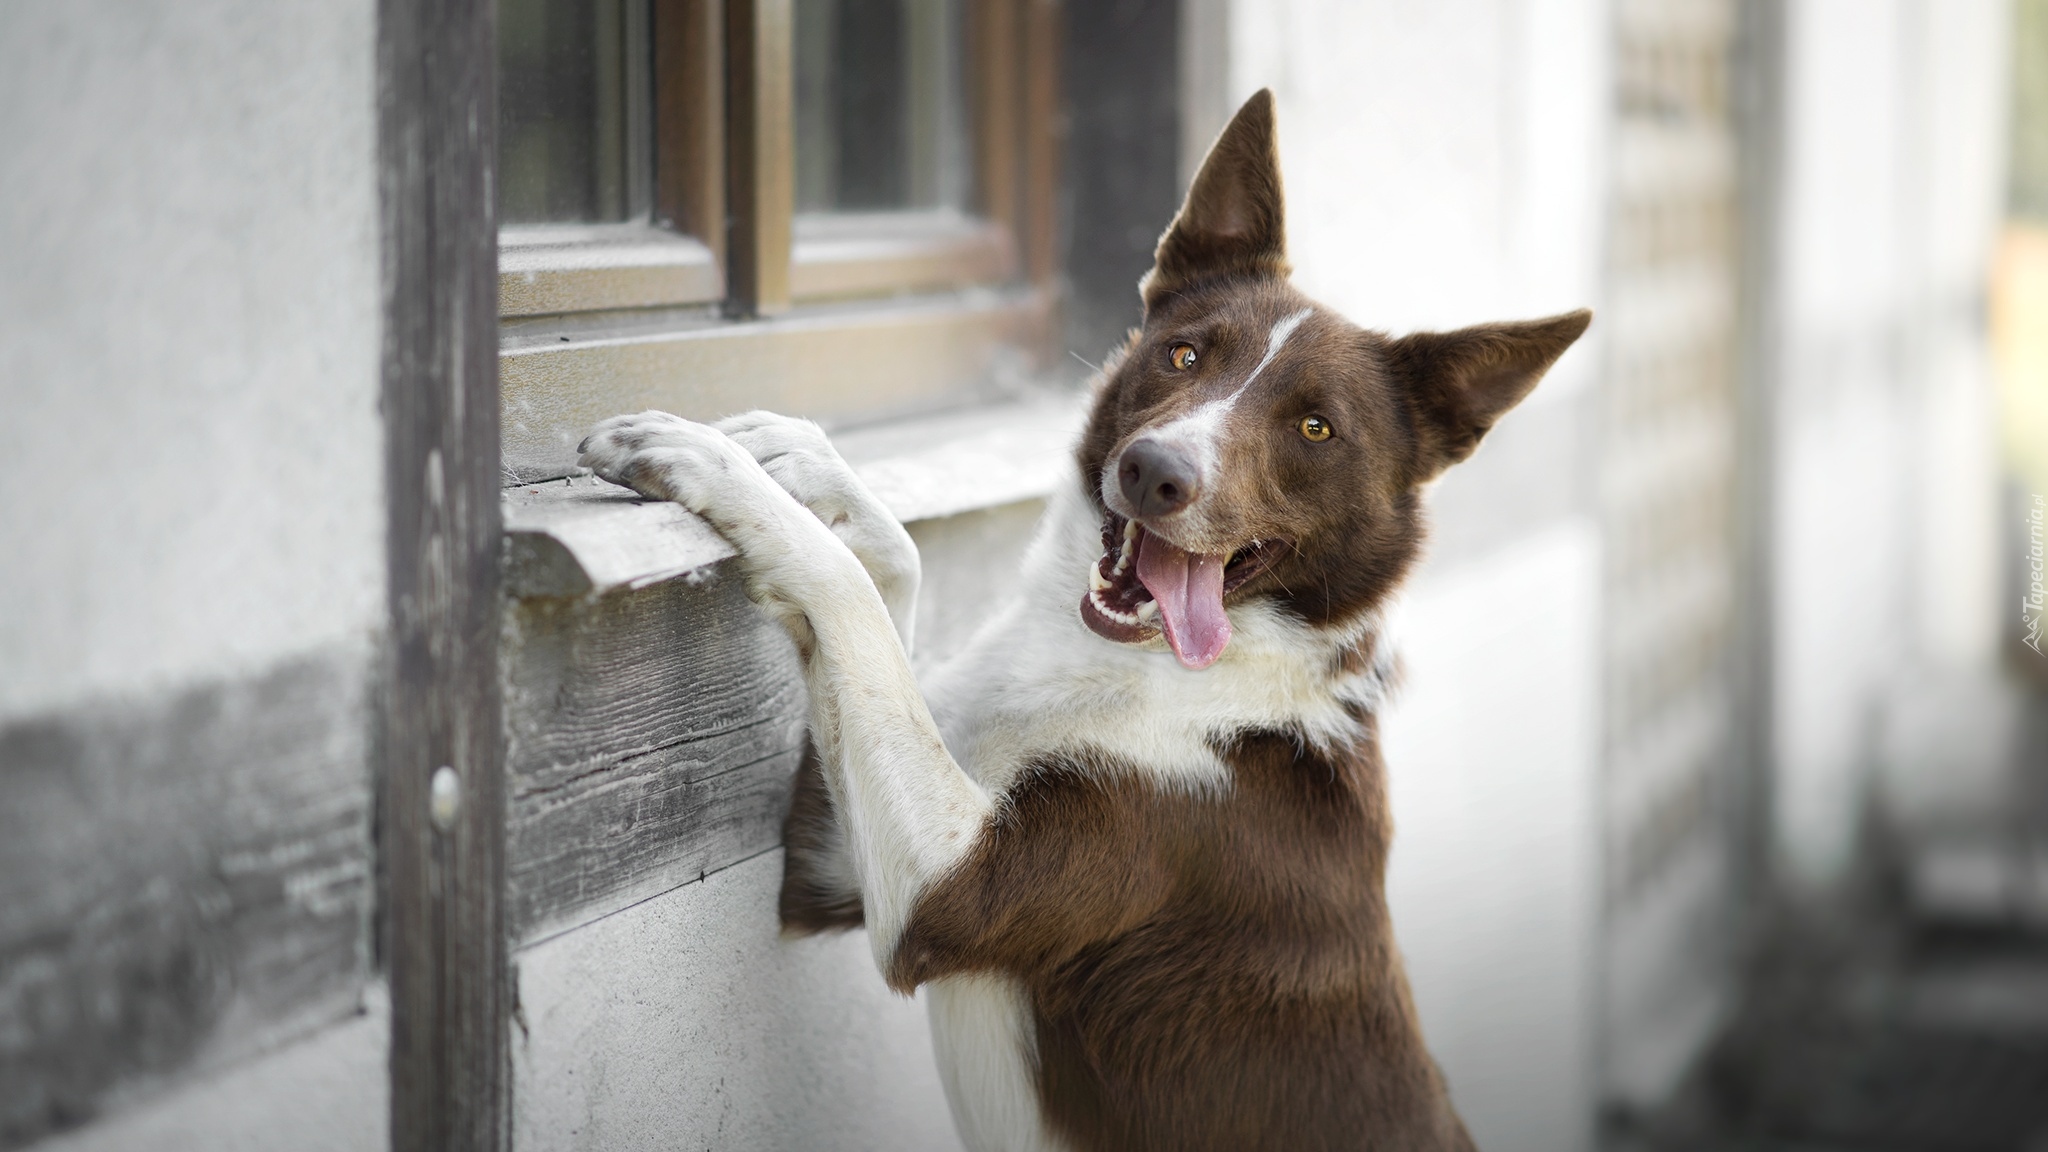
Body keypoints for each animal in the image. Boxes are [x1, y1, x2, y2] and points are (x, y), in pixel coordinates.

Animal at [585, 94, 1589, 1147]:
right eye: (1184, 354)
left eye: (1317, 429)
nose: (1155, 472)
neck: (1166, 676)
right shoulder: (836, 861)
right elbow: (889, 578)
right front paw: (798, 457)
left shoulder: (945, 888)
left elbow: (850, 599)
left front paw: (710, 465)